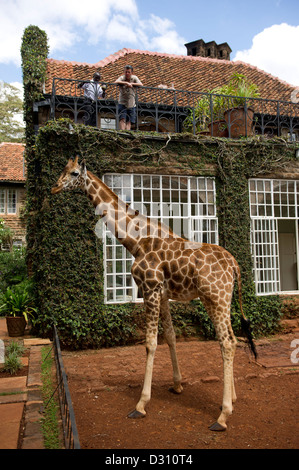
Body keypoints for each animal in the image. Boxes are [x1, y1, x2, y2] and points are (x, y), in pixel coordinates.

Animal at [52, 156, 258, 432]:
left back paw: (223, 416)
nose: (54, 187)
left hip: (216, 297)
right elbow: (170, 336)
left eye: (74, 173)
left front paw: (141, 404)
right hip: (218, 300)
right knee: (231, 339)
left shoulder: (149, 288)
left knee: (227, 341)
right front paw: (177, 385)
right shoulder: (163, 294)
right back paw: (232, 398)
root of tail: (235, 265)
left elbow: (150, 343)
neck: (138, 242)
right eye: (62, 170)